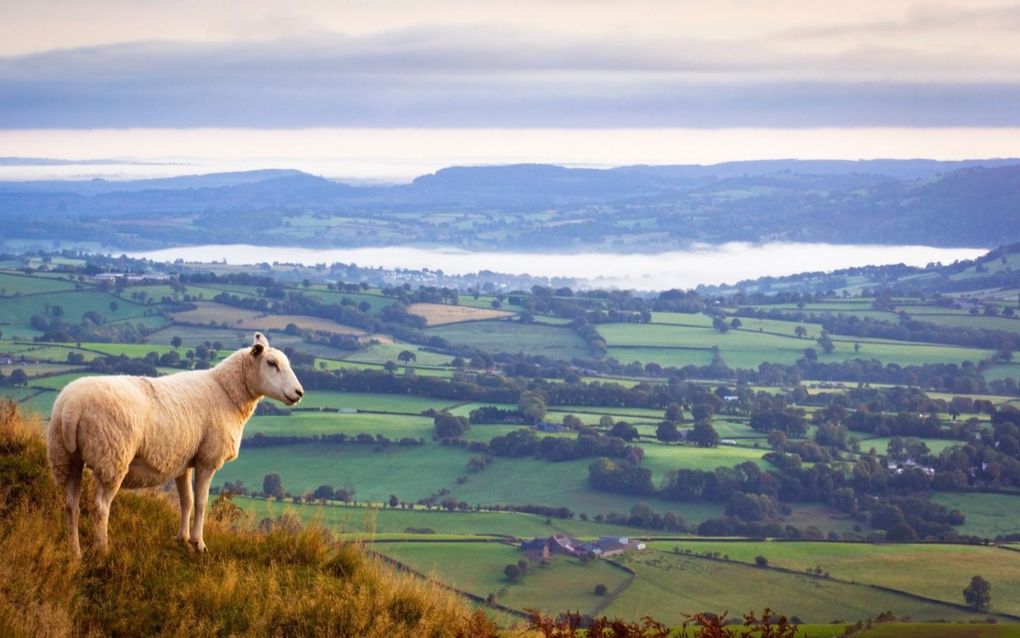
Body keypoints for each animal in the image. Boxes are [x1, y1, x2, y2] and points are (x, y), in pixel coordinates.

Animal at [46, 330, 301, 555]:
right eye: (271, 363)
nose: (299, 392)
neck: (227, 392)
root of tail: (71, 408)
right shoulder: (207, 459)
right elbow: (201, 502)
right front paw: (199, 544)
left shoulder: (183, 460)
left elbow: (186, 501)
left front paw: (182, 539)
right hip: (112, 457)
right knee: (100, 506)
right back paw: (102, 550)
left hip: (66, 458)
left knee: (71, 504)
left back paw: (75, 551)